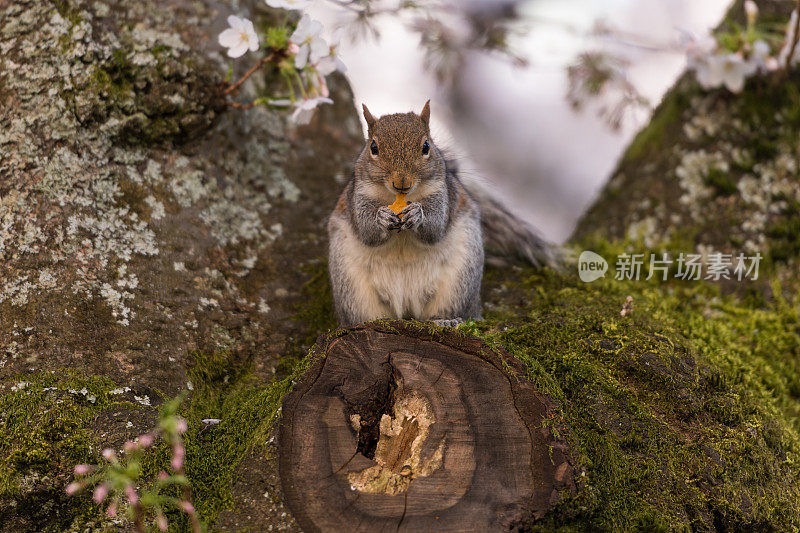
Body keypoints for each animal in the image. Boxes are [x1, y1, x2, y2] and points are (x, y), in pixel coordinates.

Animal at [326, 97, 556, 326]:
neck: (398, 198)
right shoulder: (357, 197)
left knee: (453, 310)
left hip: (460, 281)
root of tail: (407, 307)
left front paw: (417, 214)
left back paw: (448, 321)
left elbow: (435, 229)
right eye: (373, 147)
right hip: (351, 288)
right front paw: (381, 217)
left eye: (426, 146)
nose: (402, 182)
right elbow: (367, 232)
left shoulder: (443, 194)